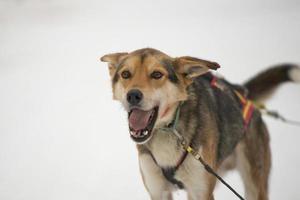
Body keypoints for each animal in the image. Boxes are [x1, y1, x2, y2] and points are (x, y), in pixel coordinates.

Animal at [101, 48, 300, 200]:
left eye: (157, 74)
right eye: (125, 74)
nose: (133, 95)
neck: (168, 130)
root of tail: (243, 93)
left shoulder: (201, 191)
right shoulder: (158, 191)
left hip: (253, 184)